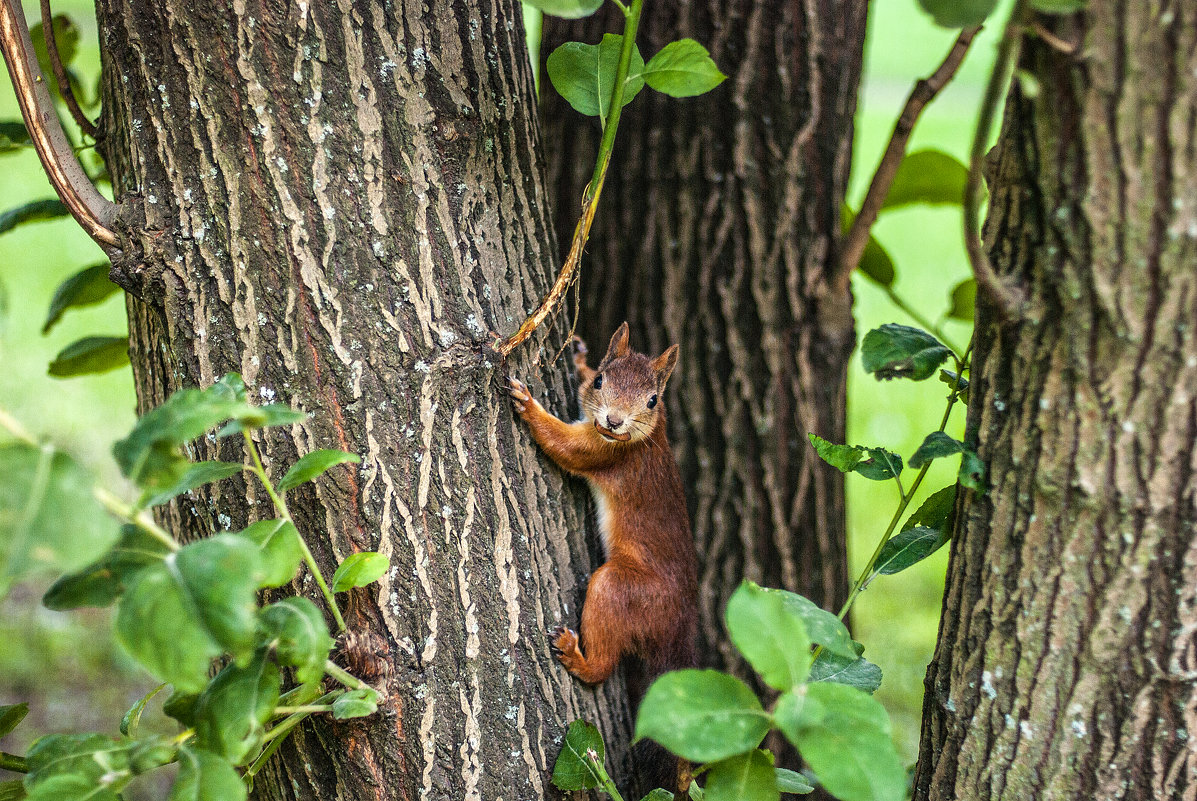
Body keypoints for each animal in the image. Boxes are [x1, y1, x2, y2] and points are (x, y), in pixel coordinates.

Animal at [507, 320, 699, 684]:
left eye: (652, 400)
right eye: (600, 380)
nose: (614, 421)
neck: (648, 432)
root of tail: (678, 629)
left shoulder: (607, 453)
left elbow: (564, 446)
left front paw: (528, 404)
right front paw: (580, 357)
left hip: (621, 590)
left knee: (603, 665)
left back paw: (576, 656)